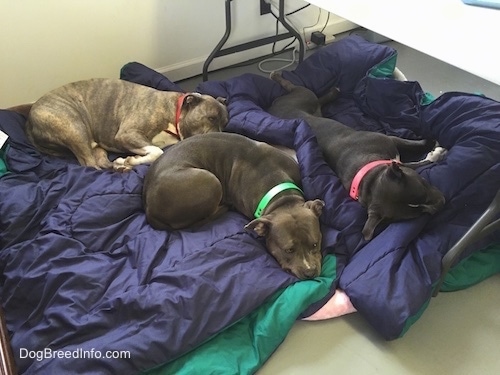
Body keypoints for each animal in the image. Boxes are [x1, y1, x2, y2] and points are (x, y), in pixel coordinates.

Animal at [17, 79, 229, 173]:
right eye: (211, 118)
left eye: (225, 123)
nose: (220, 135)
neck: (175, 112)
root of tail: (29, 119)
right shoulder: (127, 134)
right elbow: (156, 151)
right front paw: (133, 160)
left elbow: (155, 151)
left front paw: (130, 161)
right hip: (74, 127)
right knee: (89, 164)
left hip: (94, 143)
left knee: (101, 161)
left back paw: (117, 165)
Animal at [143, 132, 326, 280]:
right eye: (289, 250)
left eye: (315, 244)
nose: (310, 272)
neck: (281, 194)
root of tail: (148, 207)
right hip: (211, 181)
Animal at [270, 71, 446, 241]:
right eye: (416, 214)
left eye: (423, 185)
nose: (442, 203)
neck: (369, 177)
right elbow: (418, 163)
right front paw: (435, 153)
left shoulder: (390, 142)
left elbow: (412, 145)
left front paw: (430, 144)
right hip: (304, 97)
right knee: (296, 87)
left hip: (308, 100)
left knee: (308, 94)